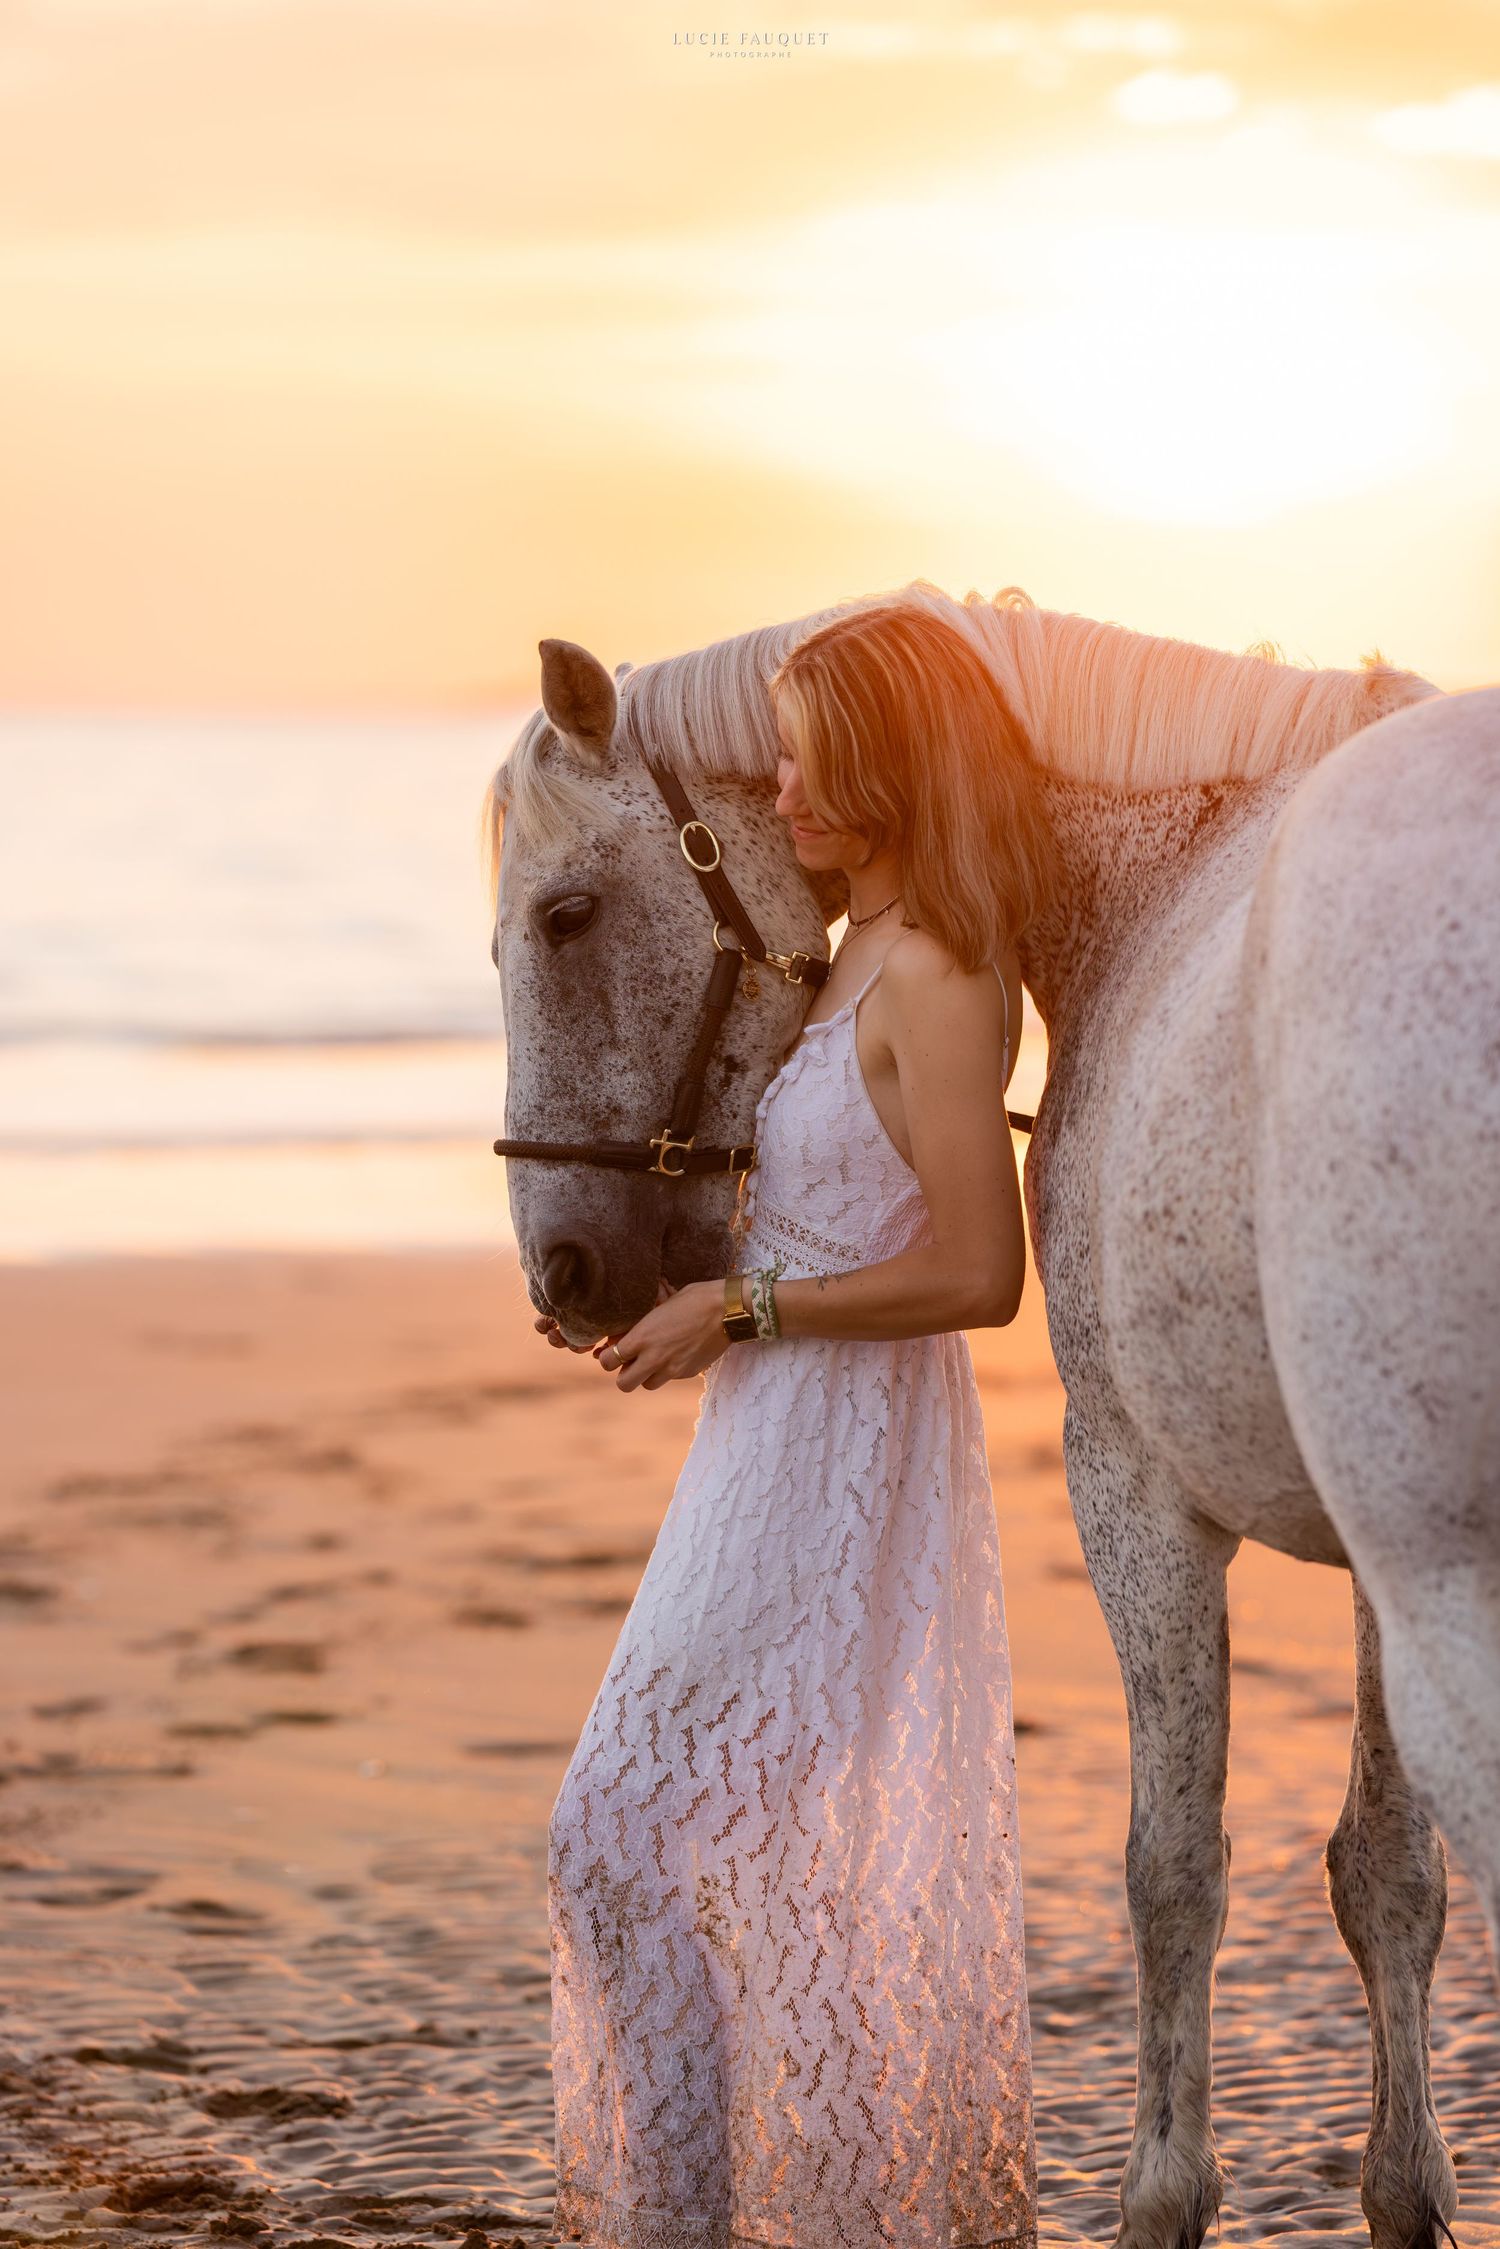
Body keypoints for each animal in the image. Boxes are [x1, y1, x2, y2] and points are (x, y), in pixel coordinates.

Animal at [484, 580, 1500, 2249]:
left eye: (568, 916)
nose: (564, 1277)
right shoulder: (1373, 1566)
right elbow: (1386, 1878)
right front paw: (1406, 2194)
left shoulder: (1143, 1491)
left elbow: (1176, 1868)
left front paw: (1164, 2197)